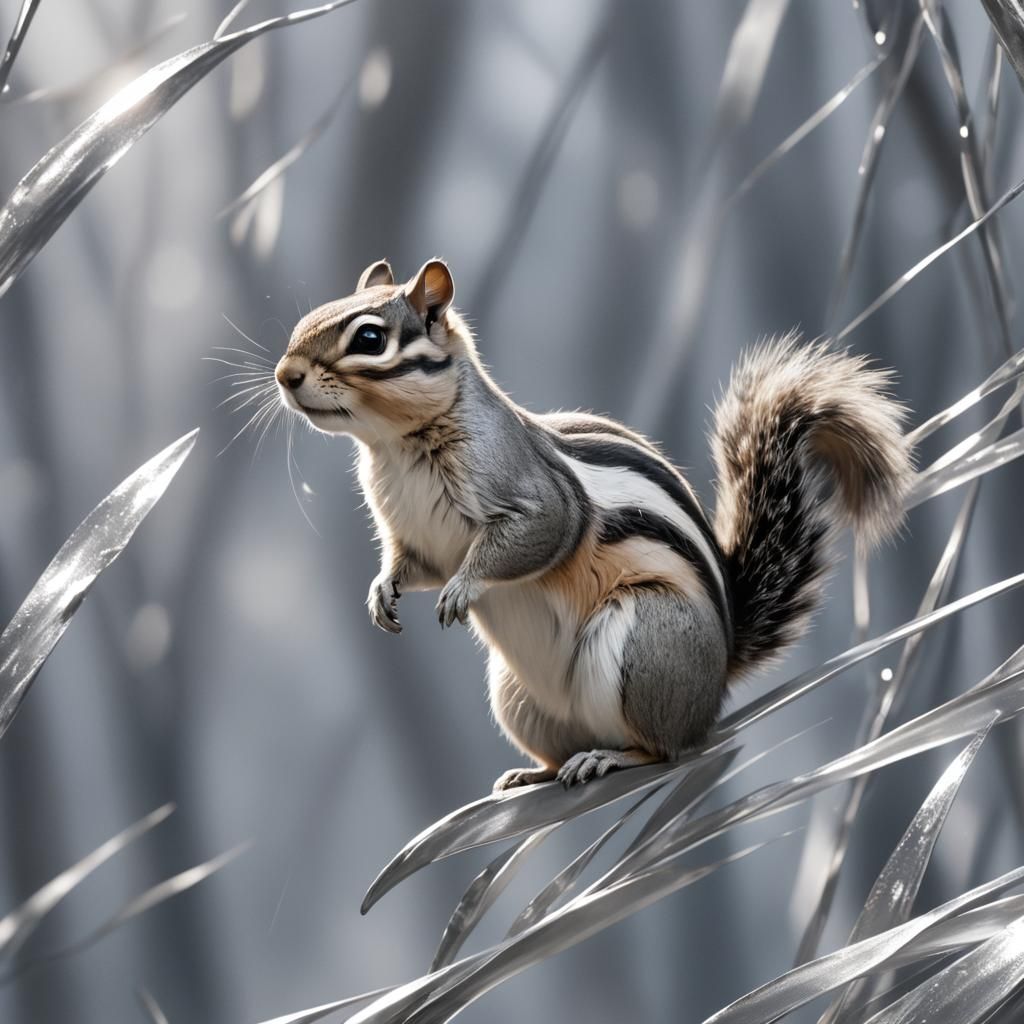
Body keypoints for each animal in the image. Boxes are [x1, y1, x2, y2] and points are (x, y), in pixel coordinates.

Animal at [274, 258, 913, 790]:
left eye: (370, 338)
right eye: (304, 320)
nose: (285, 375)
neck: (396, 447)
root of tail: (717, 677)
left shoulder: (537, 500)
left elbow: (531, 539)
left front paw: (464, 586)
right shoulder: (414, 539)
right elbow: (411, 566)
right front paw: (381, 592)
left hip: (644, 640)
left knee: (665, 749)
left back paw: (610, 758)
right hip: (515, 697)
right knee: (566, 746)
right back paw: (533, 774)